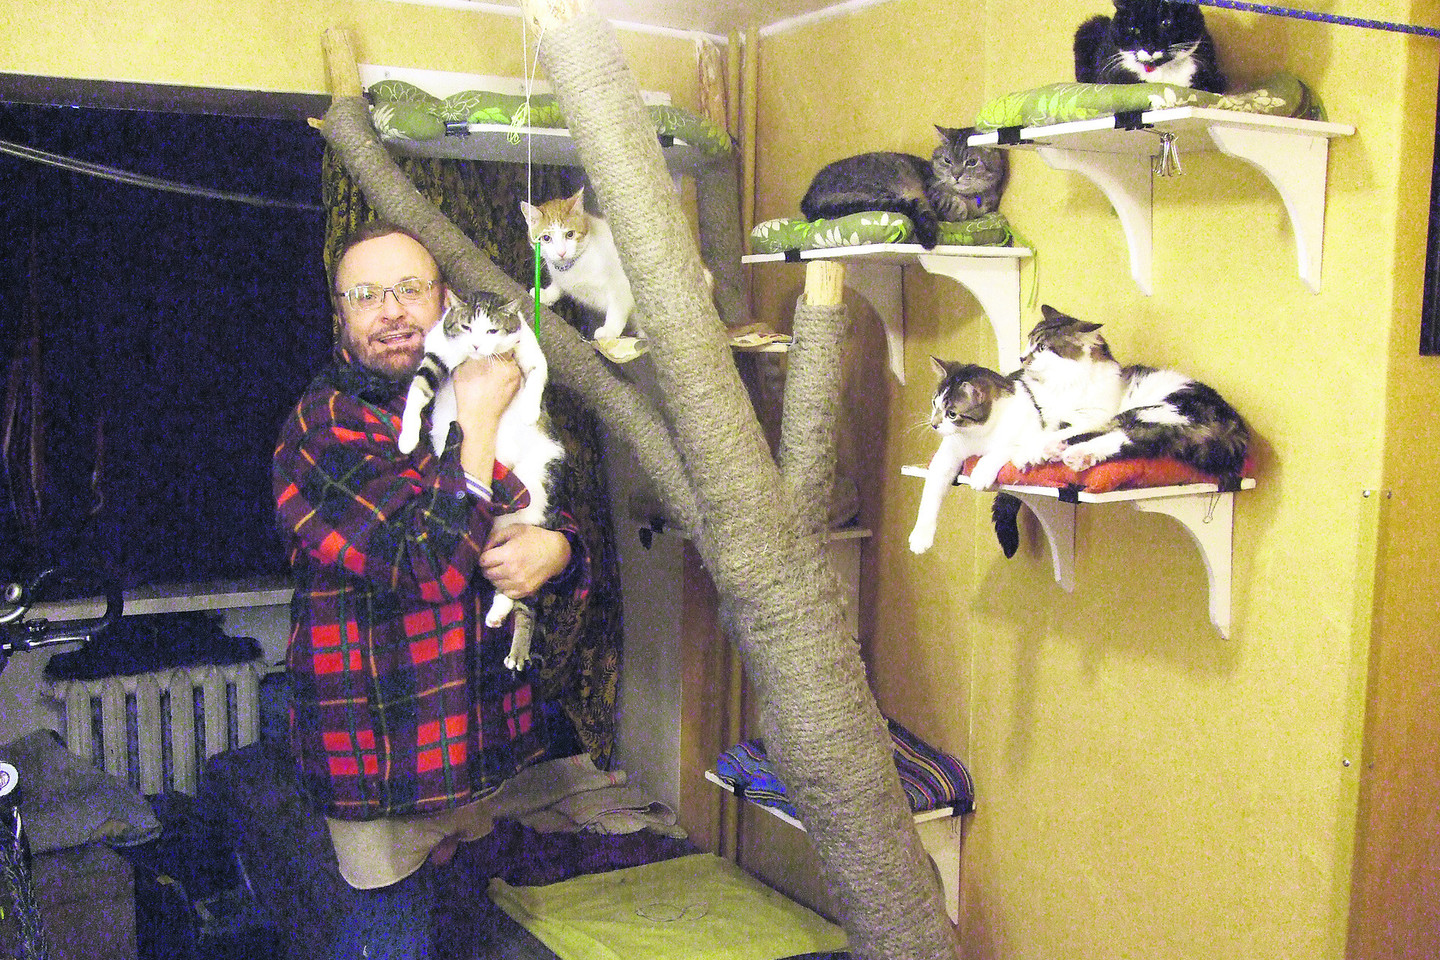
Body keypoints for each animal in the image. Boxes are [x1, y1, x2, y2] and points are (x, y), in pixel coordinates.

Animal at [397, 290, 564, 670]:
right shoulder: (436, 355)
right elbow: (417, 391)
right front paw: (407, 437)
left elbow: (537, 375)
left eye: (492, 331)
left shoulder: (528, 350)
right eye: (466, 327)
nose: (475, 345)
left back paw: (505, 625)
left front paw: (530, 410)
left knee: (522, 594)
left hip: (536, 489)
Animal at [521, 187, 637, 342]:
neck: (573, 267)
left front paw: (610, 330)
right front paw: (546, 294)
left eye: (570, 234)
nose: (561, 252)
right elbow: (557, 287)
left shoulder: (620, 285)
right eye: (546, 238)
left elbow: (617, 307)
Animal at [800, 127, 1009, 249]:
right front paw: (958, 208)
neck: (970, 197)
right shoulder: (933, 195)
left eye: (971, 162)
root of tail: (808, 199)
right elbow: (951, 206)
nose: (956, 175)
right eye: (947, 160)